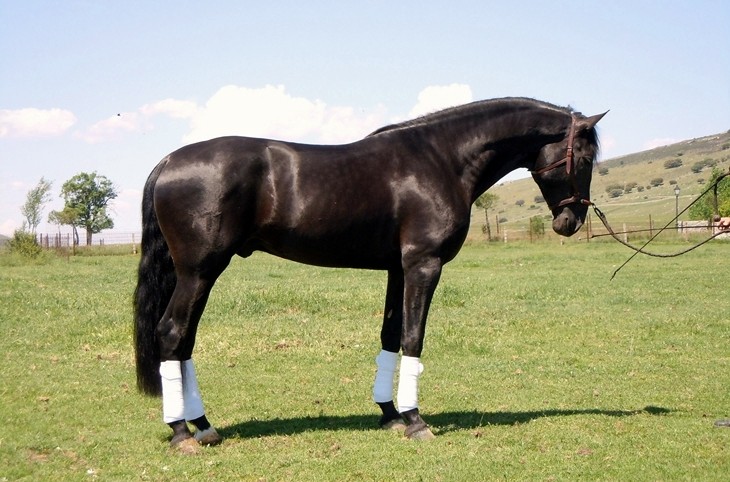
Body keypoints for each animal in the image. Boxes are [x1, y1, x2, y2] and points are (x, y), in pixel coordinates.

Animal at [133, 97, 605, 452]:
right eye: (583, 157)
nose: (571, 221)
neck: (441, 158)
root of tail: (169, 160)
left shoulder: (398, 268)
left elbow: (390, 336)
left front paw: (391, 415)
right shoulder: (423, 264)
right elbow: (413, 338)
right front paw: (415, 421)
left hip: (197, 274)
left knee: (184, 340)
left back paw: (202, 425)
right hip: (200, 271)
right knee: (173, 333)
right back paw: (181, 433)